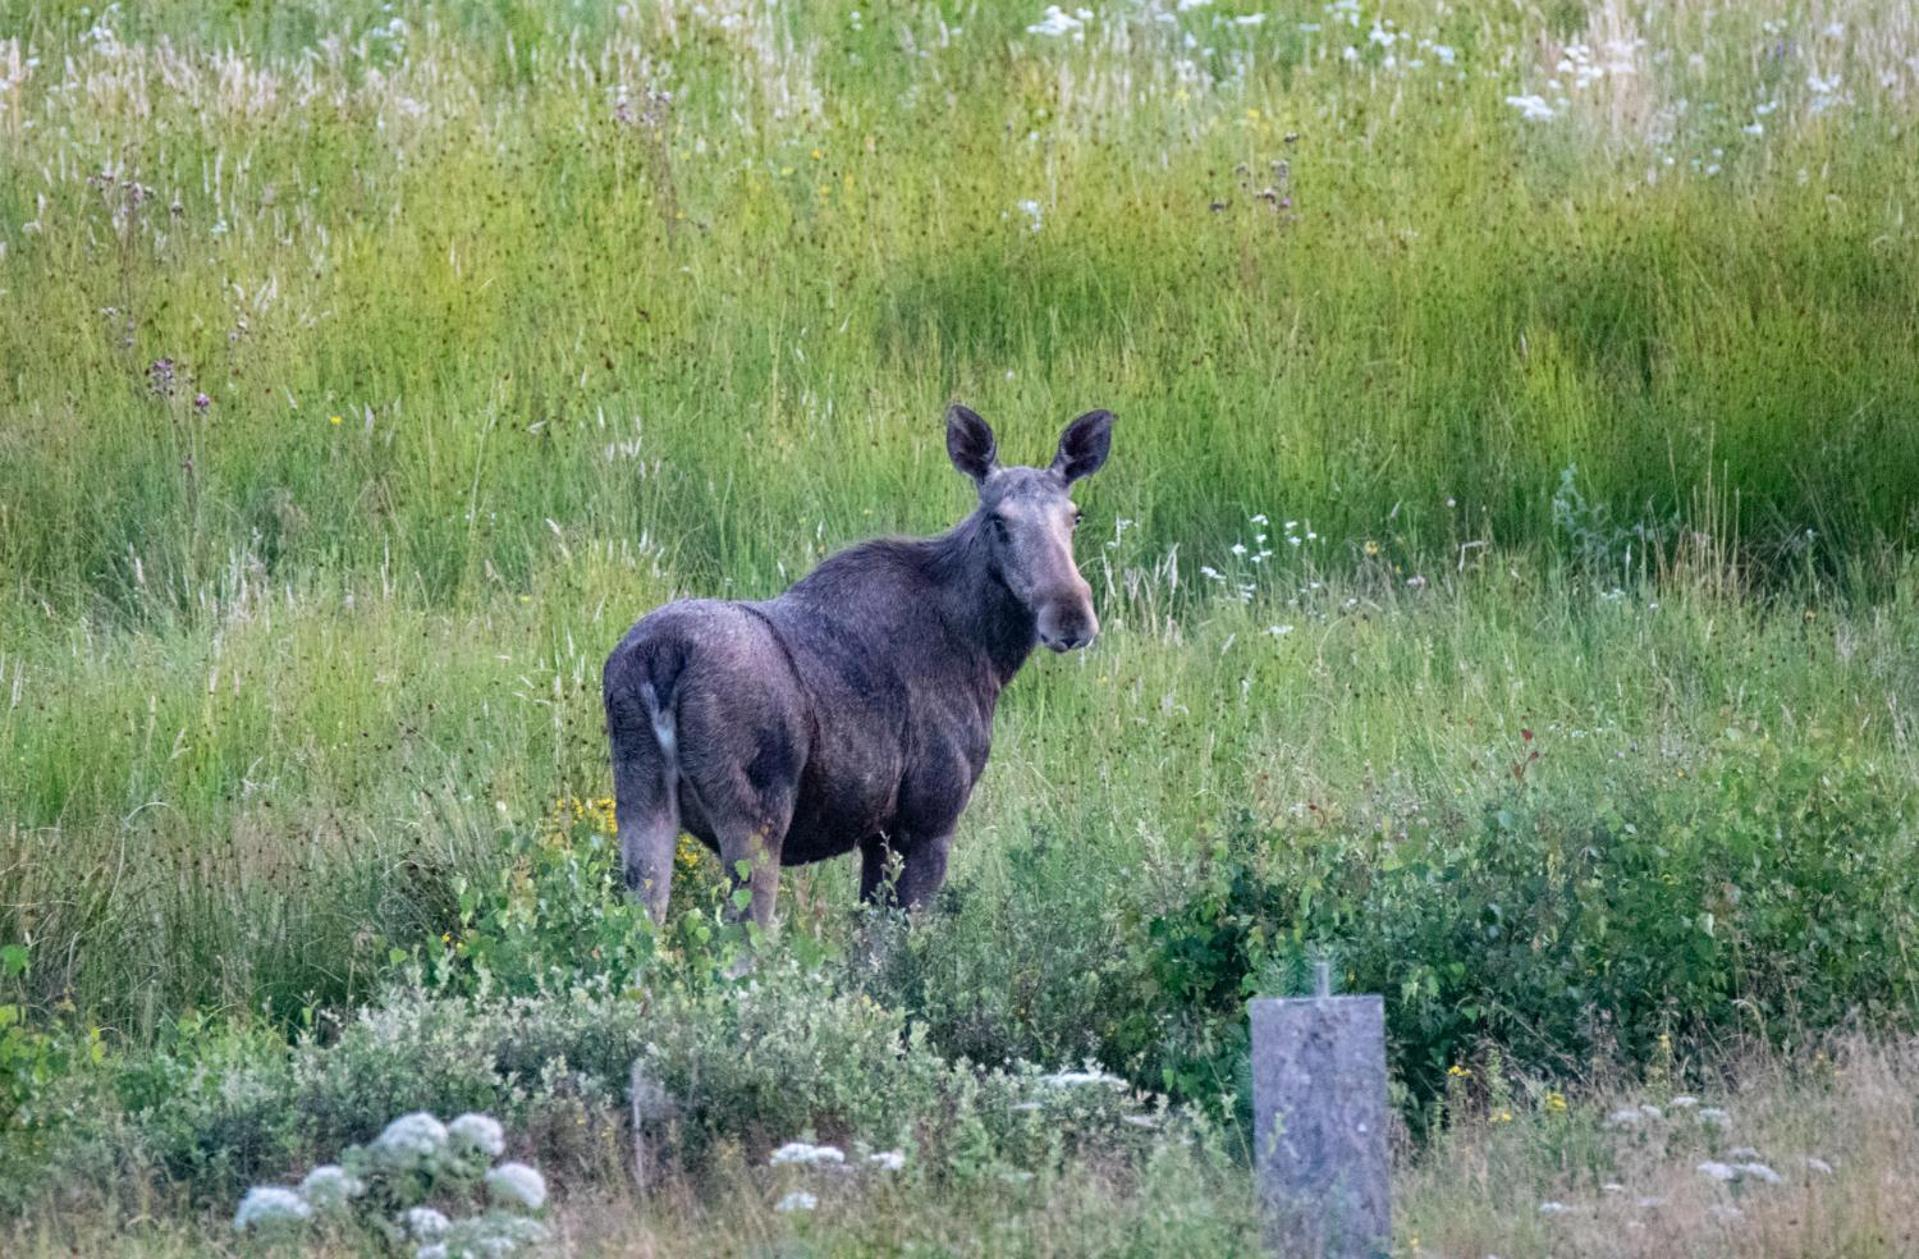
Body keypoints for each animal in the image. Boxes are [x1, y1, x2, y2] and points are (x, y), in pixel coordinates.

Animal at [598, 408, 1113, 928]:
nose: (1070, 615)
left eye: (1074, 516)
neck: (987, 655)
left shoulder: (878, 833)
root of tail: (661, 659)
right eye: (998, 521)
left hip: (640, 801)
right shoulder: (928, 821)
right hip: (756, 820)